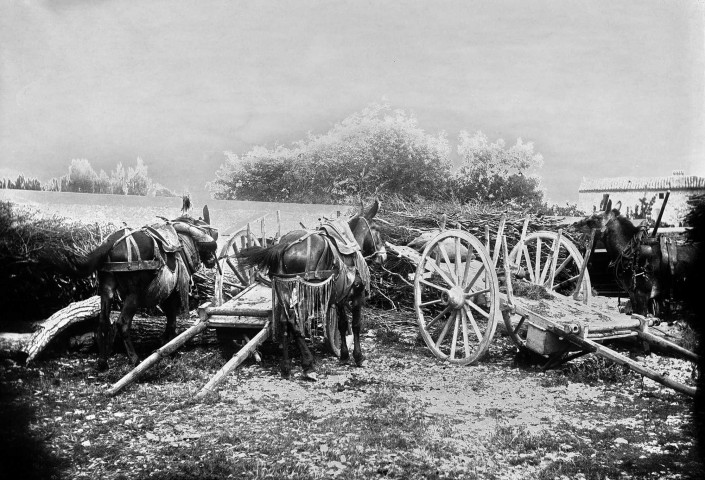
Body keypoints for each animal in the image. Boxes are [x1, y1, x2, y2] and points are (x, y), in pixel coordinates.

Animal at [48, 204, 217, 370]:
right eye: (210, 235)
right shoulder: (173, 294)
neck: (184, 242)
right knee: (122, 323)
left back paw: (103, 362)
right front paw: (171, 348)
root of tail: (111, 242)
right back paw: (135, 359)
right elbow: (172, 321)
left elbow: (170, 321)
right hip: (133, 294)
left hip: (107, 288)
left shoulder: (165, 294)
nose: (212, 261)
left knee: (103, 321)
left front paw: (164, 344)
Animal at [239, 199, 388, 378]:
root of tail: (284, 245)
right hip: (307, 293)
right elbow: (356, 325)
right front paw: (358, 357)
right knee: (296, 321)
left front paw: (344, 355)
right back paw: (308, 364)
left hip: (284, 288)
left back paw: (286, 366)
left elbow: (342, 324)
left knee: (285, 321)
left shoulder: (339, 297)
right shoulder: (357, 295)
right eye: (377, 229)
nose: (384, 256)